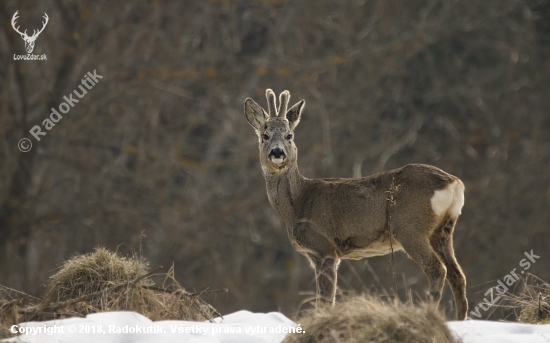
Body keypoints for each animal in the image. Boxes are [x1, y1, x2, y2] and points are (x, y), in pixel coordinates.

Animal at [246, 90, 470, 322]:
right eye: (265, 135)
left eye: (289, 135)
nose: (277, 152)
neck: (298, 203)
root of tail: (454, 182)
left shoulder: (325, 248)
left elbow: (324, 302)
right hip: (442, 230)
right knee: (458, 275)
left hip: (409, 227)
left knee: (437, 269)